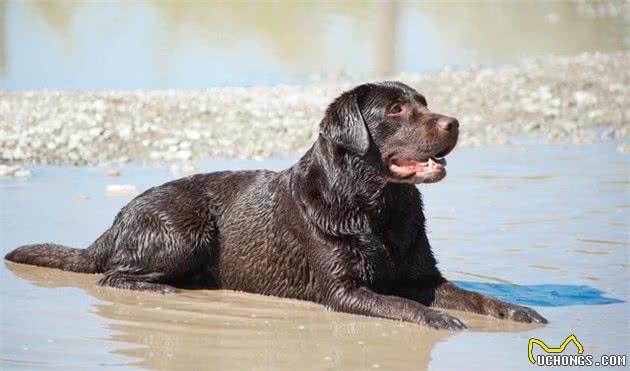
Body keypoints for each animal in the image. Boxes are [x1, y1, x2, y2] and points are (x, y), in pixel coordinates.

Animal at [4, 82, 548, 332]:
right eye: (396, 110)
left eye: (424, 102)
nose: (455, 122)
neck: (377, 207)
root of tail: (116, 221)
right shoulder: (344, 290)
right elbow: (401, 304)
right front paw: (436, 320)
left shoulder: (424, 277)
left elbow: (473, 295)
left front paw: (517, 309)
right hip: (183, 232)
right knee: (112, 275)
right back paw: (162, 290)